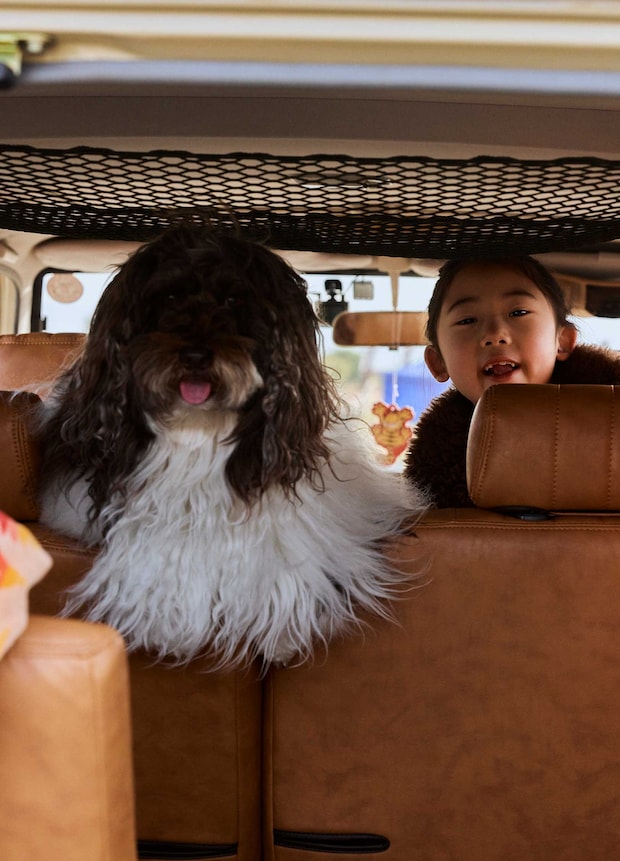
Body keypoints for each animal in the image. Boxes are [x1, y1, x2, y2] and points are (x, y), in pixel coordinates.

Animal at [37, 222, 425, 668]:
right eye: (170, 296)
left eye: (234, 299)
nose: (195, 355)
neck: (199, 429)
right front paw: (170, 626)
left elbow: (281, 561)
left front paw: (280, 634)